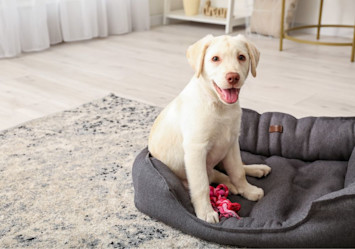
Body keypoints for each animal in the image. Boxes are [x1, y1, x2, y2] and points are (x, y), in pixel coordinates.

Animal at [149, 34, 272, 224]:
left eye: (241, 57)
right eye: (215, 59)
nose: (233, 77)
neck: (219, 106)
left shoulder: (232, 143)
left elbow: (237, 170)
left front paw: (247, 189)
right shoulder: (196, 150)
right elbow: (201, 185)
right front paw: (206, 212)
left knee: (231, 169)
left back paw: (256, 169)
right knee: (212, 175)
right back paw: (231, 184)